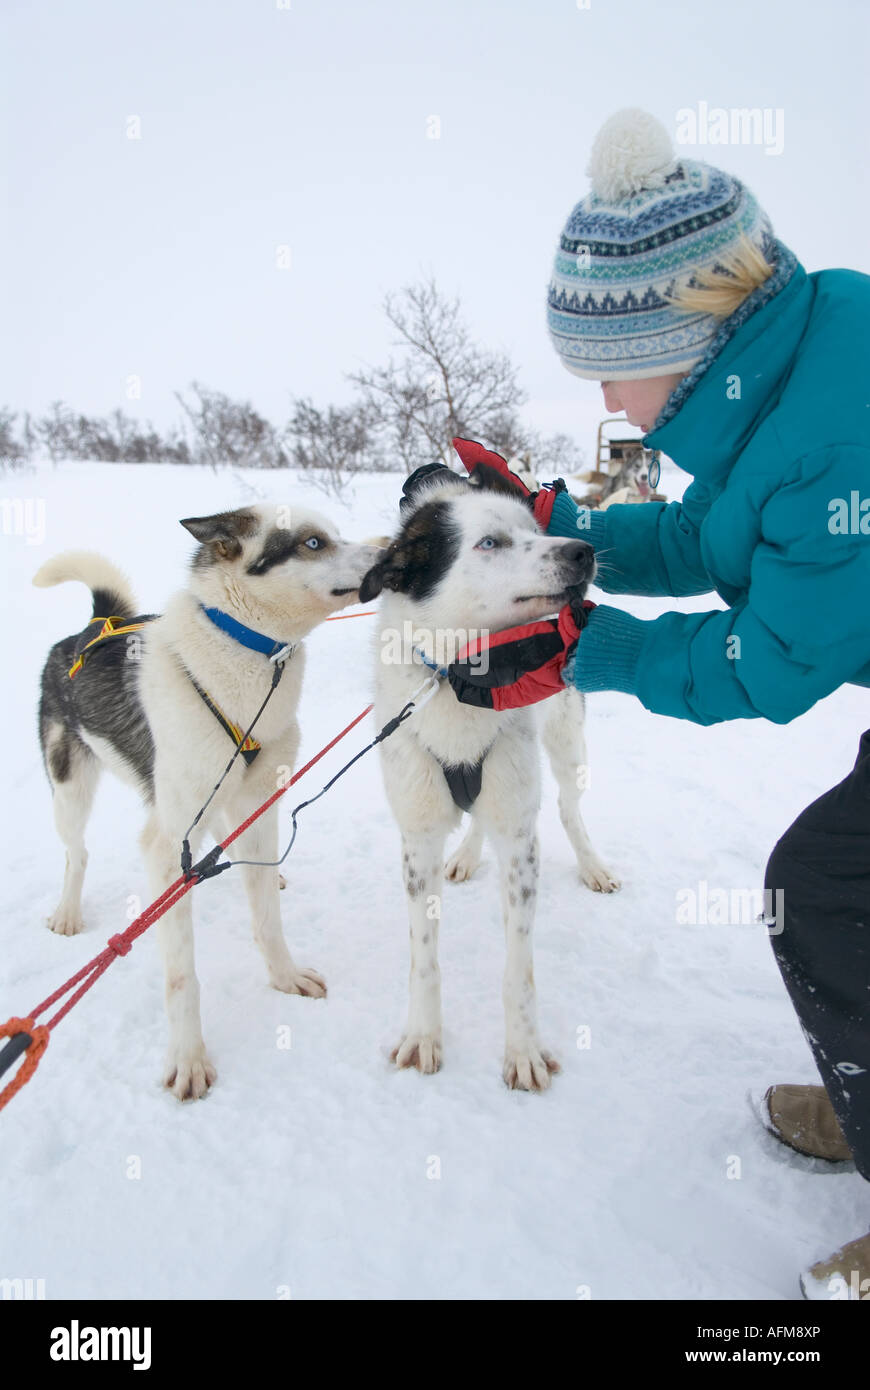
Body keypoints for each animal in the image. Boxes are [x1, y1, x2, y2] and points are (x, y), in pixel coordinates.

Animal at [34, 505, 378, 1100]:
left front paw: (284, 977)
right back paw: (69, 911)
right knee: (76, 853)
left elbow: (268, 921)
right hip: (70, 788)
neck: (248, 667)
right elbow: (181, 975)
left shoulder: (261, 806)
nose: (389, 547)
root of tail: (92, 627)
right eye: (313, 542)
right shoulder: (166, 839)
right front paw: (189, 1057)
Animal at [358, 469, 617, 1095]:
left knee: (569, 807)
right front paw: (423, 1034)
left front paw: (522, 1048)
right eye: (490, 543)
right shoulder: (418, 838)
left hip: (566, 745)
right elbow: (424, 957)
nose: (582, 551)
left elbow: (518, 968)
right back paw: (468, 855)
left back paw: (592, 864)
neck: (460, 682)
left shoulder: (520, 837)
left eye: (535, 532)